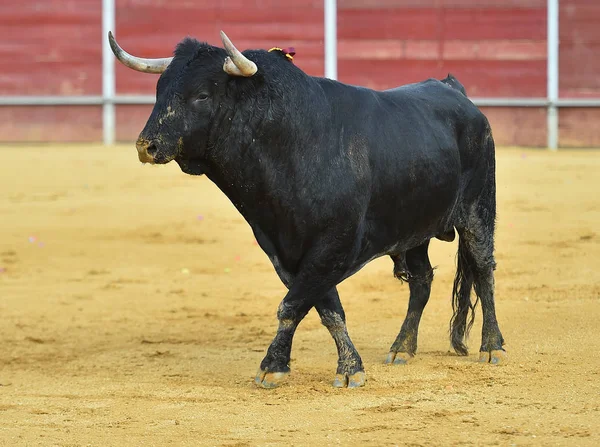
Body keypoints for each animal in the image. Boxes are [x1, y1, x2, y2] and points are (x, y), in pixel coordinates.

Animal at [109, 31, 506, 388]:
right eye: (159, 91)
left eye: (202, 95)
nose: (146, 146)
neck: (291, 142)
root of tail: (456, 92)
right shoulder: (285, 250)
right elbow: (324, 307)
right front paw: (339, 366)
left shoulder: (334, 244)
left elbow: (292, 306)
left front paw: (279, 367)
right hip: (413, 230)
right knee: (421, 281)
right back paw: (402, 348)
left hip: (478, 210)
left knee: (483, 269)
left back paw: (492, 347)